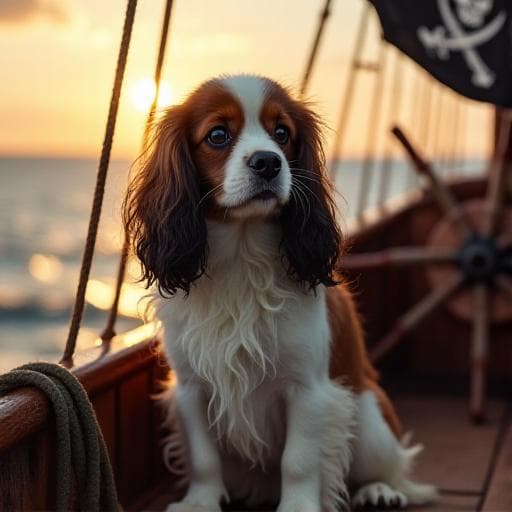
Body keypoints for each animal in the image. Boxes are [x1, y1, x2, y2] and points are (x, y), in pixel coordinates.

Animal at [123, 74, 436, 510]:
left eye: (282, 133)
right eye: (217, 135)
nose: (268, 162)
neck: (242, 256)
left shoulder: (307, 390)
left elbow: (299, 461)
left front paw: (299, 506)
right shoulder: (190, 389)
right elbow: (203, 457)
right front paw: (200, 501)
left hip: (369, 419)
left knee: (391, 469)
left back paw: (379, 489)